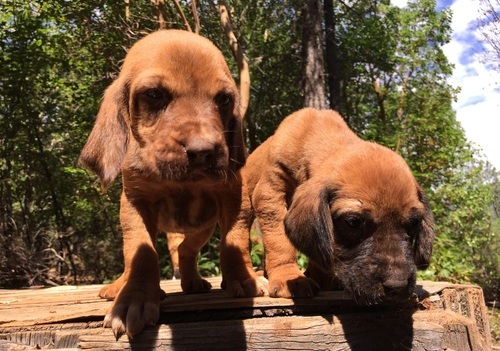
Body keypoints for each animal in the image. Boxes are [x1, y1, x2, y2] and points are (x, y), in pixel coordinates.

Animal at [78, 31, 248, 340]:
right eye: (154, 95)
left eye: (223, 100)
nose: (203, 152)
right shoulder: (135, 204)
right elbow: (140, 253)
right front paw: (133, 300)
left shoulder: (231, 195)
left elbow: (235, 240)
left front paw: (243, 279)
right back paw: (118, 286)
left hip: (203, 226)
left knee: (186, 249)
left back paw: (193, 281)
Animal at [223, 108, 434, 306]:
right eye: (353, 222)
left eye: (414, 223)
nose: (397, 286)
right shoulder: (270, 192)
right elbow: (279, 241)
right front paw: (288, 277)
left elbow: (321, 247)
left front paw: (322, 278)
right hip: (241, 206)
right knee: (237, 237)